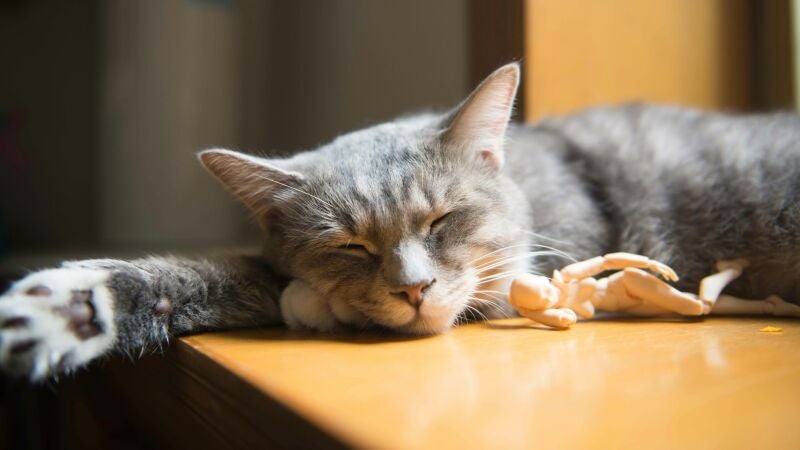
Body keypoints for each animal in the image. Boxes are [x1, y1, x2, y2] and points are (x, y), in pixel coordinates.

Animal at [1, 63, 800, 380]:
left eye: (444, 218)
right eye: (349, 245)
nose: (414, 289)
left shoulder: (551, 264)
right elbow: (204, 274)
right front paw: (67, 308)